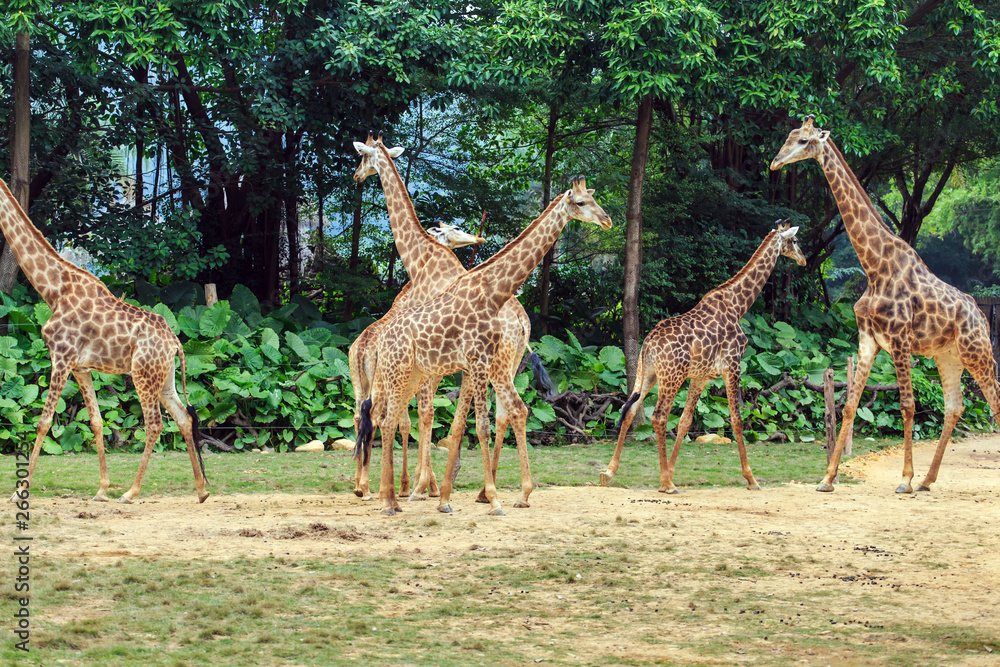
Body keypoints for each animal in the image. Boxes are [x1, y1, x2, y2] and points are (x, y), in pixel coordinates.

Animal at [0, 177, 207, 500]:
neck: (53, 291)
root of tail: (175, 343)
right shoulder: (80, 368)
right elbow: (96, 421)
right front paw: (101, 489)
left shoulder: (61, 358)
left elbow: (44, 422)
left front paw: (19, 492)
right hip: (165, 379)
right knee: (184, 419)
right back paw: (201, 491)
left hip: (143, 375)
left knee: (155, 424)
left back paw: (131, 492)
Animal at [350, 136, 556, 504]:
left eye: (362, 157)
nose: (358, 176)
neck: (419, 260)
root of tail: (522, 324)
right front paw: (428, 485)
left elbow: (425, 414)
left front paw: (420, 486)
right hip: (508, 363)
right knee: (503, 413)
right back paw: (485, 490)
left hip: (493, 364)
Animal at [356, 177, 612, 516]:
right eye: (581, 203)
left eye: (594, 199)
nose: (607, 220)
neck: (492, 290)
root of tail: (384, 337)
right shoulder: (476, 361)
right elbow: (478, 426)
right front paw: (490, 498)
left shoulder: (476, 363)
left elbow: (465, 424)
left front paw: (449, 494)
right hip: (399, 372)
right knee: (386, 418)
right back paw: (388, 498)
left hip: (413, 374)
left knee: (389, 419)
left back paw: (391, 498)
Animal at [600, 223, 804, 490]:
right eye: (796, 240)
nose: (803, 259)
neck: (738, 306)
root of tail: (647, 345)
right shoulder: (733, 366)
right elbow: (736, 419)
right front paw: (751, 478)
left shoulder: (702, 377)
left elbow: (685, 421)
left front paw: (672, 470)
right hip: (672, 377)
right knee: (658, 417)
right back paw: (666, 484)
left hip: (648, 374)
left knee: (631, 410)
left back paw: (610, 472)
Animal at [768, 115, 1000, 494]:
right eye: (788, 136)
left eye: (804, 141)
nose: (775, 163)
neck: (874, 266)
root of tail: (981, 314)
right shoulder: (868, 339)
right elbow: (849, 405)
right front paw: (827, 479)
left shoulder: (900, 338)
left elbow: (907, 404)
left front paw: (904, 480)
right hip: (948, 355)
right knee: (955, 406)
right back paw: (928, 480)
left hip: (977, 352)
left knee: (994, 401)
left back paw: (921, 480)